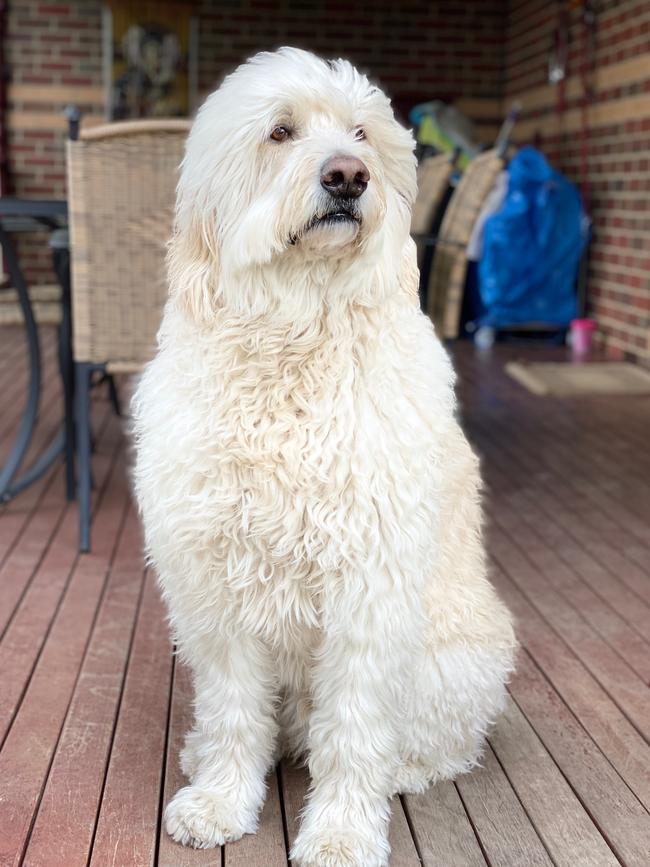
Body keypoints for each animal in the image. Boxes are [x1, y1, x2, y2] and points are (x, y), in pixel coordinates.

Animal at [132, 47, 512, 867]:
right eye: (281, 131)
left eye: (362, 134)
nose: (348, 176)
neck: (296, 335)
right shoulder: (218, 587)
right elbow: (235, 711)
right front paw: (220, 798)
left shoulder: (368, 591)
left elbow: (355, 730)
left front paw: (340, 831)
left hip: (454, 658)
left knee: (441, 743)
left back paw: (407, 767)